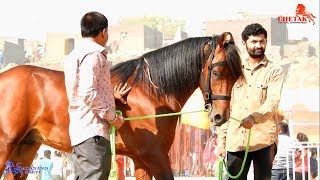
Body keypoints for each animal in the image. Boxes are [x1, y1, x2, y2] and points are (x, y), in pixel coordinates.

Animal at [0, 32, 244, 179]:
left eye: (236, 75)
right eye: (216, 72)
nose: (221, 116)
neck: (150, 93)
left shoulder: (140, 160)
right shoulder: (156, 156)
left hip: (25, 147)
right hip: (6, 144)